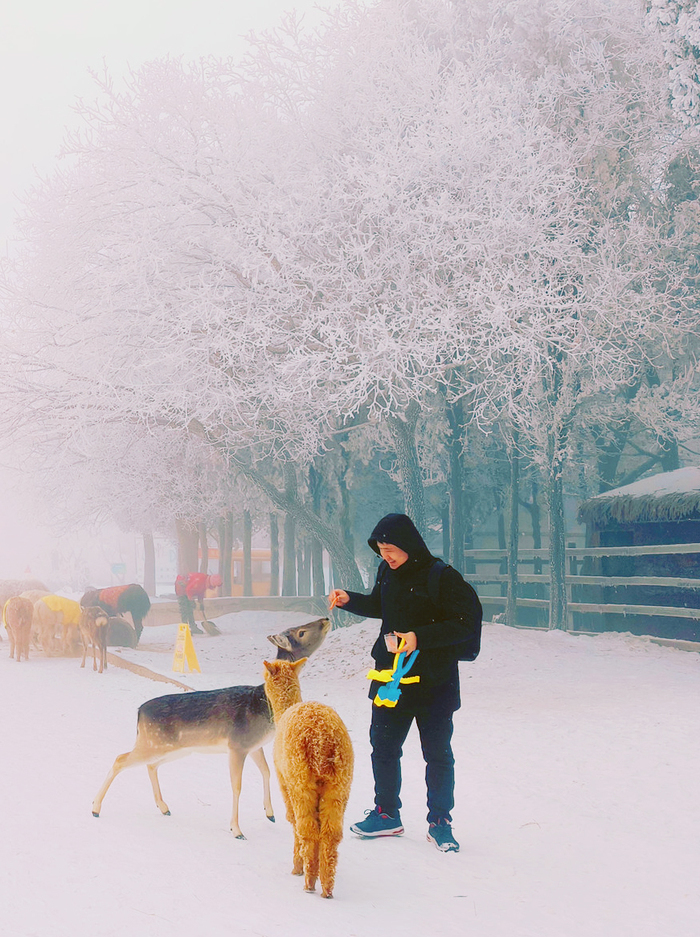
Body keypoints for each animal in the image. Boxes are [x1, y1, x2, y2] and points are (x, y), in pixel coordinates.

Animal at [91, 616, 332, 836]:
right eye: (301, 631)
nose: (326, 619)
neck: (265, 705)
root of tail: (140, 712)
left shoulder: (254, 745)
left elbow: (266, 771)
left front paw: (270, 813)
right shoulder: (238, 744)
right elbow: (237, 785)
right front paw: (236, 829)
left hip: (171, 747)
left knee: (151, 765)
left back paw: (164, 807)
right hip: (152, 743)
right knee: (120, 759)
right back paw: (95, 808)